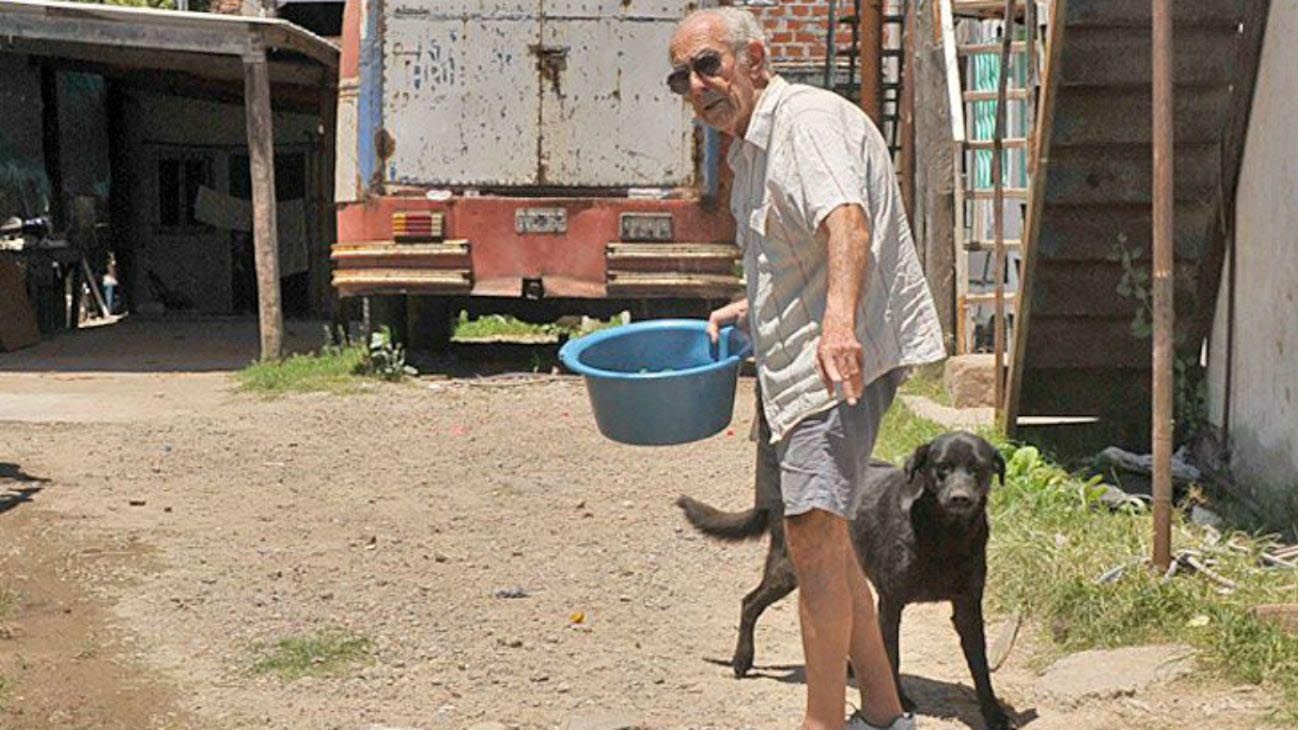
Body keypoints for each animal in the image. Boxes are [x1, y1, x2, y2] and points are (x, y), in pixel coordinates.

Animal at [681, 428, 1013, 722]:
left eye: (978, 469)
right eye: (942, 468)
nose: (960, 498)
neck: (946, 535)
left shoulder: (968, 606)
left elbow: (980, 664)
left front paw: (993, 713)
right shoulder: (891, 603)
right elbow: (891, 655)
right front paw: (899, 699)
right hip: (789, 569)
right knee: (749, 602)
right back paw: (742, 660)